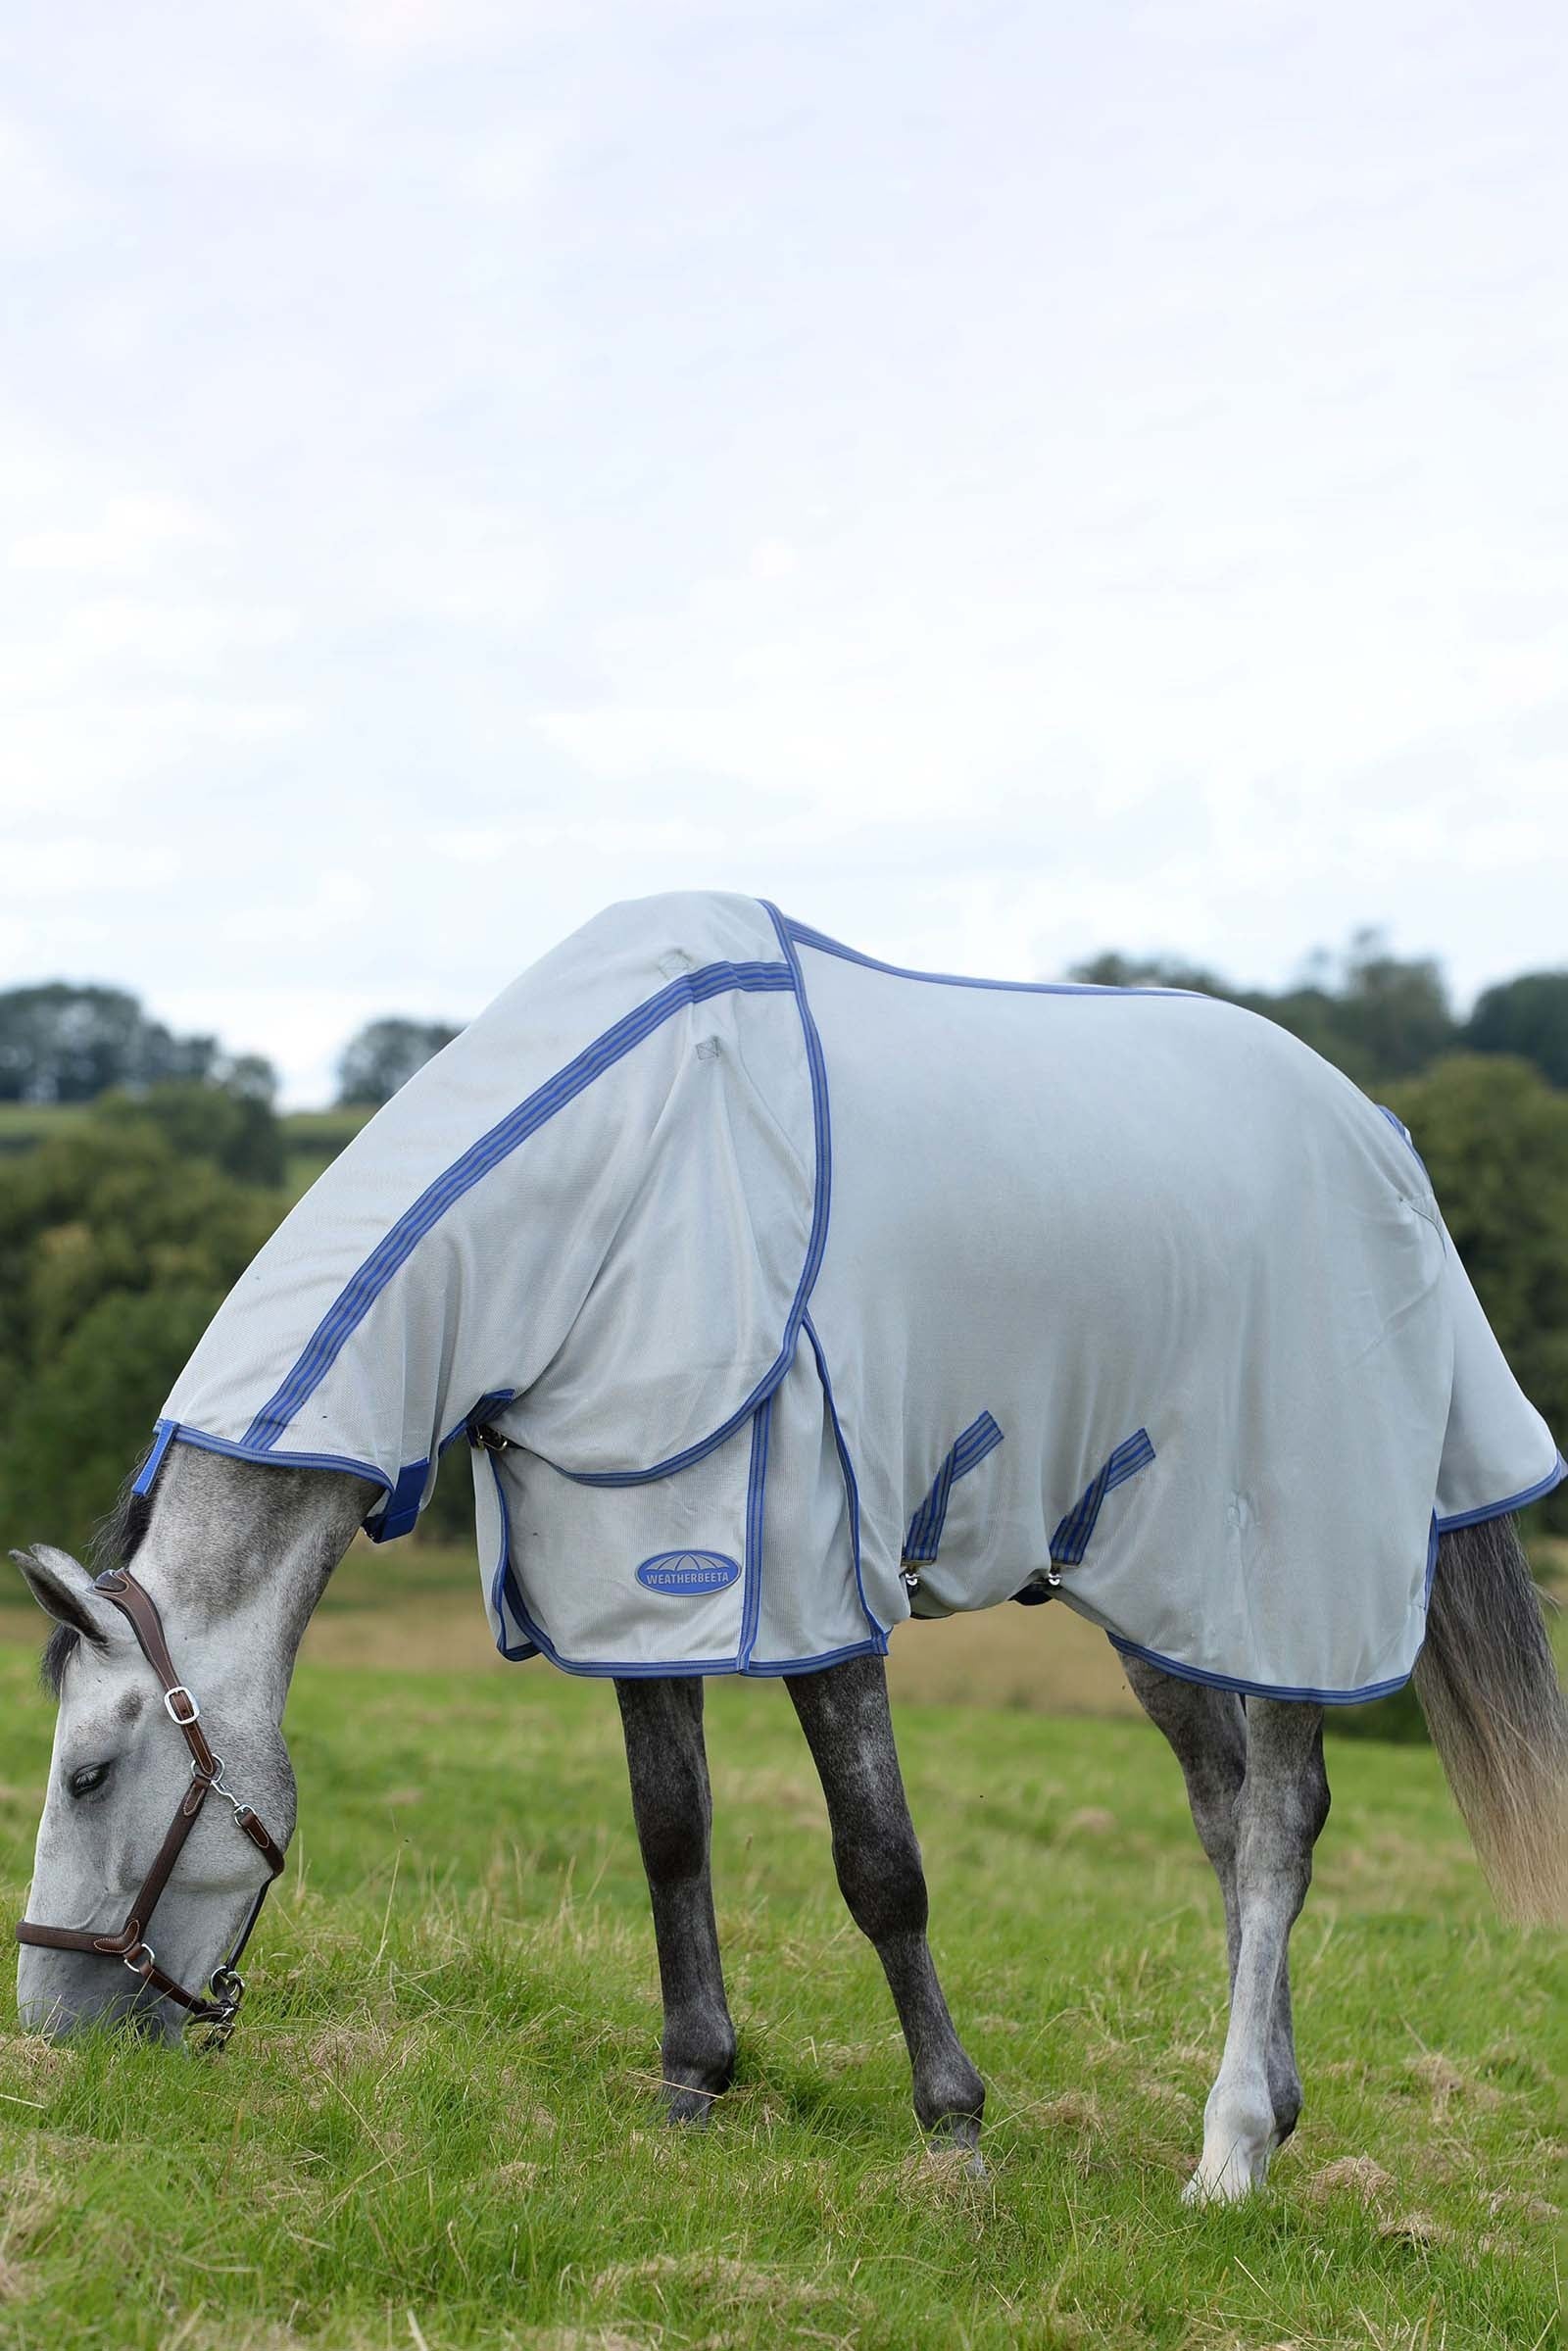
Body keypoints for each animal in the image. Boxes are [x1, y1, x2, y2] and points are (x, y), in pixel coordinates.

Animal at [12, 893, 1567, 2201]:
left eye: (86, 1772)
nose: (52, 2033)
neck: (612, 1174)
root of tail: (1380, 1129)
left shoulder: (817, 1575)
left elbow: (880, 1862)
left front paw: (954, 2129)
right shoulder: (640, 1565)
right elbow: (671, 1832)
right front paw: (691, 2084)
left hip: (1288, 1572)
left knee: (1278, 1824)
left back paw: (1229, 2149)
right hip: (1156, 1585)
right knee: (1226, 1812)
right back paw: (1277, 2112)